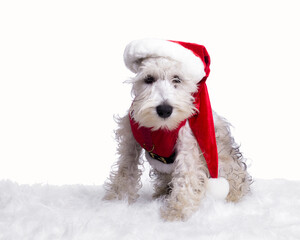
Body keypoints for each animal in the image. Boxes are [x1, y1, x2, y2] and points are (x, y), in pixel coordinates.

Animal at [102, 39, 251, 221]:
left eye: (177, 79)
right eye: (149, 79)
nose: (164, 110)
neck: (160, 129)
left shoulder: (187, 146)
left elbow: (186, 178)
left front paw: (176, 212)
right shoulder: (130, 141)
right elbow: (125, 170)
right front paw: (117, 201)